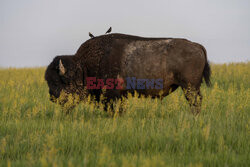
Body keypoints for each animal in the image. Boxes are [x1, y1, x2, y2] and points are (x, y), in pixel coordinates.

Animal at [45, 33, 211, 115]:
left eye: (57, 81)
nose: (52, 97)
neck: (84, 67)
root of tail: (197, 46)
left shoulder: (112, 94)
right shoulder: (122, 94)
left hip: (190, 86)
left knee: (195, 101)